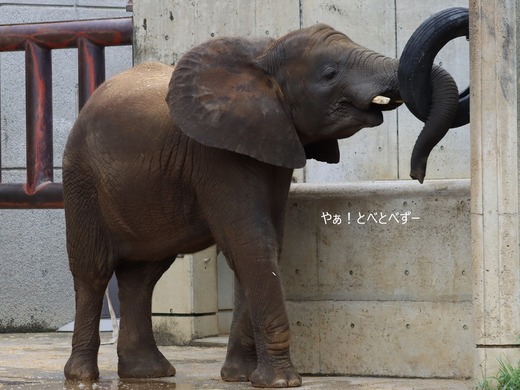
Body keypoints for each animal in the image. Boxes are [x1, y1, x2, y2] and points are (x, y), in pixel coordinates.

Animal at [62, 23, 464, 386]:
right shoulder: (215, 155)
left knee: (143, 275)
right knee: (92, 271)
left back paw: (148, 374)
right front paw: (282, 382)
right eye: (329, 73)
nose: (417, 174)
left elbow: (263, 244)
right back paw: (82, 376)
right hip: (82, 179)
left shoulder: (272, 141)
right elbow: (250, 242)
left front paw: (241, 377)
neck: (265, 54)